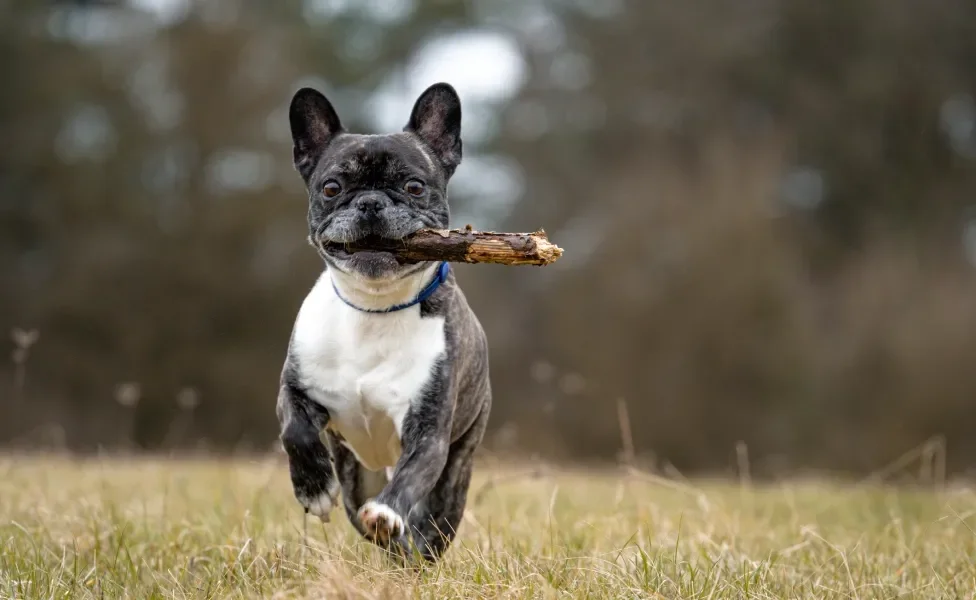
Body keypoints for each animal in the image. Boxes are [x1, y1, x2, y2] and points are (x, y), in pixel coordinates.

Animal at [274, 81, 492, 564]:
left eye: (413, 186)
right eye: (332, 187)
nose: (370, 202)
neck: (375, 307)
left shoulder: (428, 432)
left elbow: (411, 477)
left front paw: (389, 513)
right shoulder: (295, 390)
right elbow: (294, 430)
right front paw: (313, 488)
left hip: (457, 468)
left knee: (431, 521)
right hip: (356, 476)